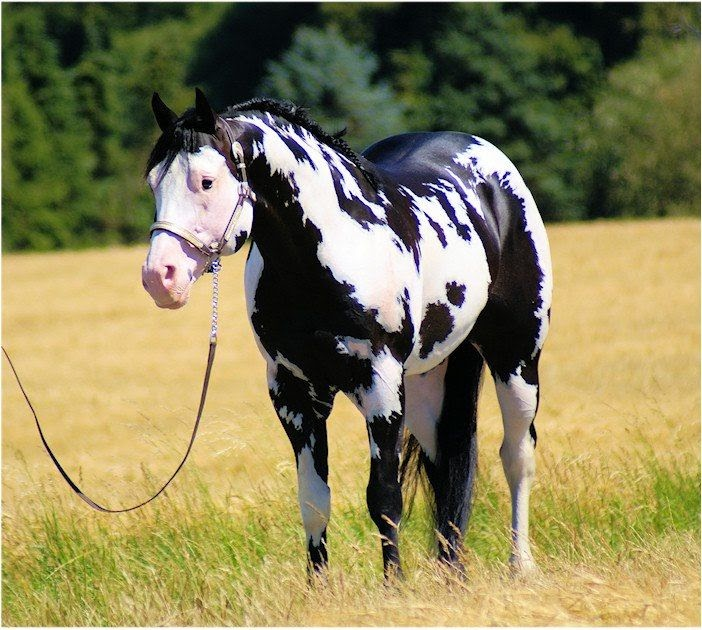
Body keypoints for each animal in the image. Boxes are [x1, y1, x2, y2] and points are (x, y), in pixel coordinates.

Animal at [142, 88, 553, 579]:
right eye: (152, 182)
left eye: (205, 181)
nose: (159, 277)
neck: (329, 252)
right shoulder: (293, 393)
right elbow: (313, 501)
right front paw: (319, 587)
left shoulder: (380, 386)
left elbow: (385, 499)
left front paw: (394, 586)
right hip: (426, 382)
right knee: (444, 467)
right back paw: (451, 574)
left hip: (516, 357)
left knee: (517, 456)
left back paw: (521, 566)